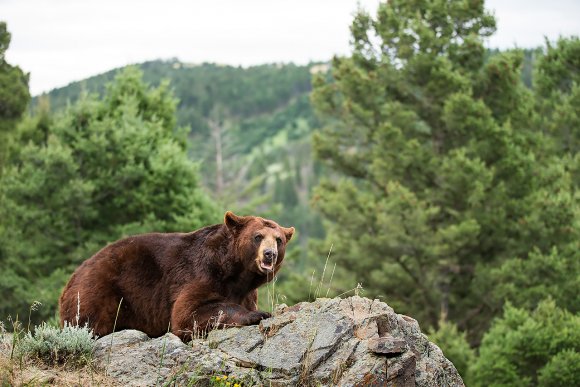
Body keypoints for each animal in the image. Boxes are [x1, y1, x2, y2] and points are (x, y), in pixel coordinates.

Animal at [59, 212, 294, 342]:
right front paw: (258, 314)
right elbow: (188, 313)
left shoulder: (246, 291)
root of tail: (73, 275)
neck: (235, 272)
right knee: (88, 319)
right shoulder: (202, 274)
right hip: (100, 289)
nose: (269, 254)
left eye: (278, 239)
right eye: (258, 236)